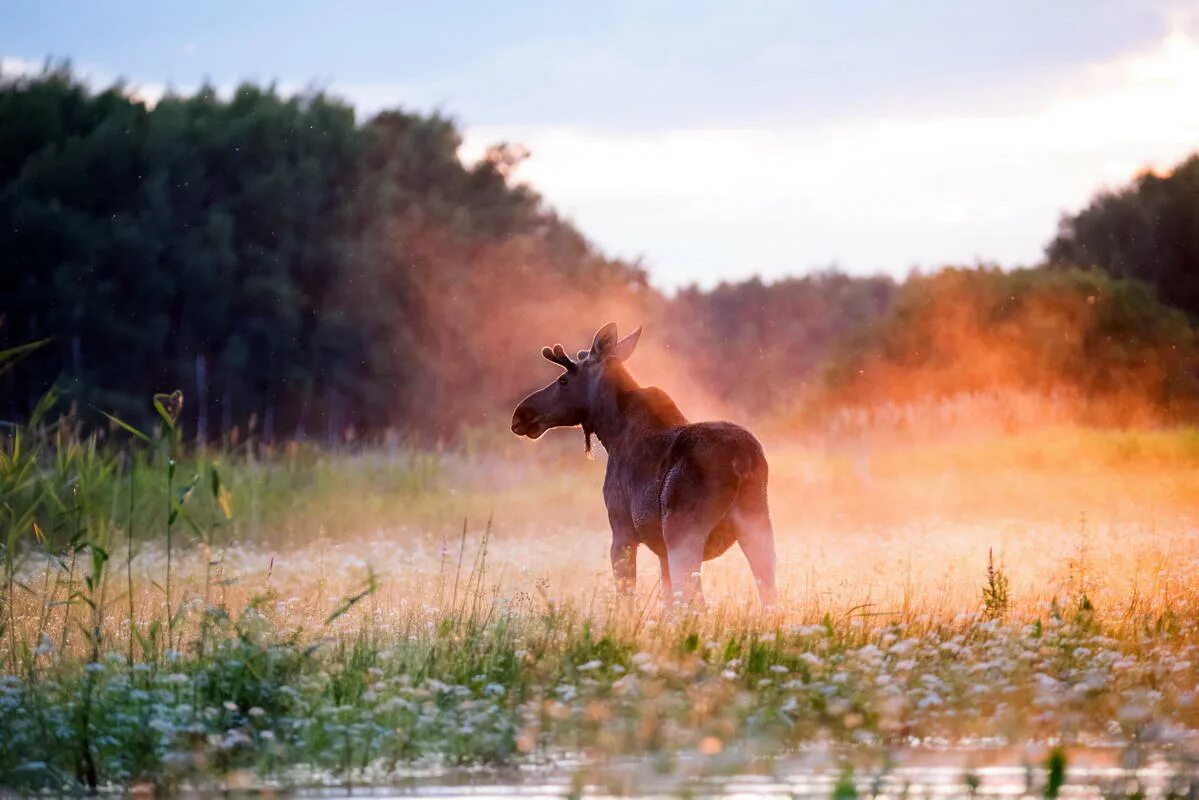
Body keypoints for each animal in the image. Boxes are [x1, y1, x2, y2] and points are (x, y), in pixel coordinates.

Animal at [513, 321, 776, 604]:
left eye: (563, 380)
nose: (521, 415)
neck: (611, 432)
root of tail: (743, 459)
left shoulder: (622, 531)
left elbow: (627, 597)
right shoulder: (660, 550)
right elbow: (667, 604)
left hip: (683, 532)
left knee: (696, 601)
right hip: (758, 524)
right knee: (769, 595)